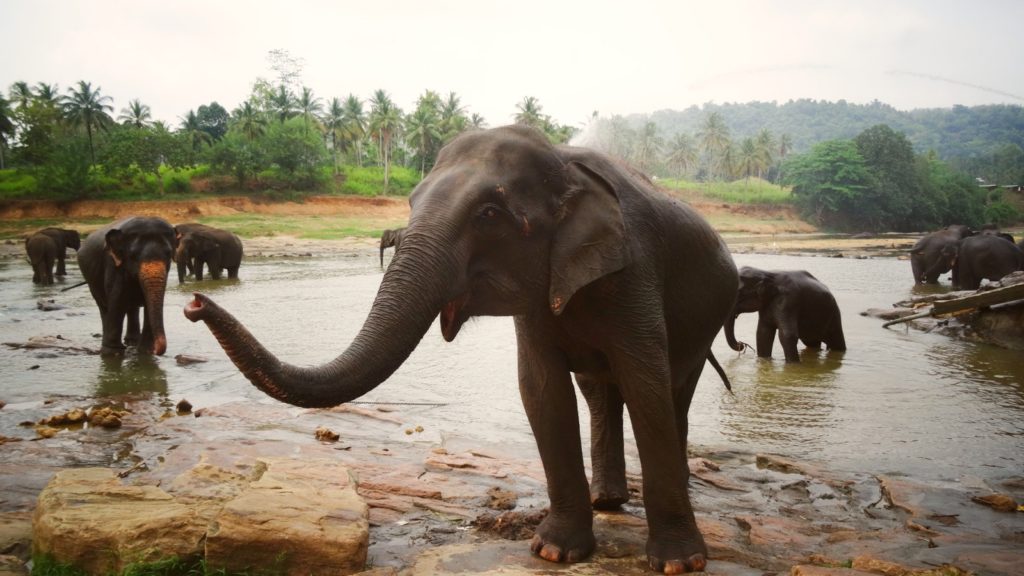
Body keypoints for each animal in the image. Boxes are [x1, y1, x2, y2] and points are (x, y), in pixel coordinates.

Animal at [78, 216, 175, 354]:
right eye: (133, 255)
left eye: (169, 254)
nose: (157, 351)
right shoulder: (114, 264)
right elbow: (117, 300)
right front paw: (112, 352)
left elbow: (148, 303)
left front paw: (145, 352)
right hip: (92, 283)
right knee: (104, 307)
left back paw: (132, 342)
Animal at [188, 124, 741, 569]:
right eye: (411, 203)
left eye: (489, 214)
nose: (193, 304)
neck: (564, 161)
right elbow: (542, 392)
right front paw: (554, 552)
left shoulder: (633, 270)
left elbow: (645, 385)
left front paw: (679, 564)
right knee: (600, 389)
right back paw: (608, 502)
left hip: (708, 314)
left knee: (673, 392)